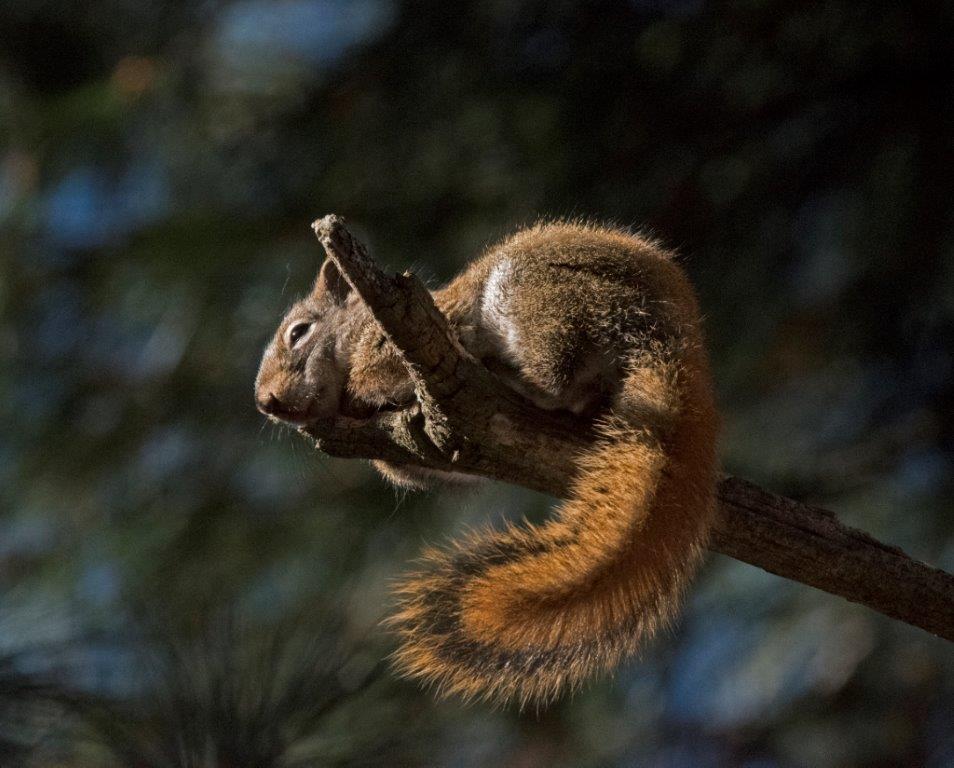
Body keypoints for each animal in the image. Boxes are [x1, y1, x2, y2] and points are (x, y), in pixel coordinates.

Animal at [254, 221, 719, 706]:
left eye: (299, 332)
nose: (266, 402)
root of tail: (675, 337)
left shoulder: (404, 337)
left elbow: (379, 374)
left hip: (543, 299)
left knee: (557, 374)